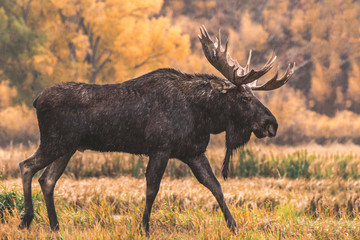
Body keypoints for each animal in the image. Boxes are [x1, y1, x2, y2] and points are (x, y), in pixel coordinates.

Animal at [18, 25, 296, 234]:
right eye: (245, 98)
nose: (272, 124)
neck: (204, 115)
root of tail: (36, 100)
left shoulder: (193, 152)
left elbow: (215, 185)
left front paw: (234, 226)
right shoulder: (160, 149)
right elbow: (152, 189)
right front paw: (144, 228)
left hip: (68, 148)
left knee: (47, 179)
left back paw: (55, 226)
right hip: (54, 142)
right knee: (26, 166)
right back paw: (27, 219)